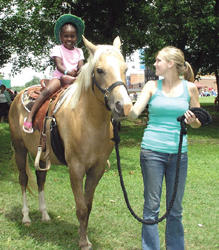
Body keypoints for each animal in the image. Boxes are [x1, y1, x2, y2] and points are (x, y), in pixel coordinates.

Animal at [8, 35, 132, 250]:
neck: (88, 120)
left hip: (42, 155)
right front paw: (83, 242)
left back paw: (45, 215)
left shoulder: (97, 169)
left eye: (125, 69)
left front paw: (85, 237)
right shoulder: (76, 168)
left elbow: (88, 205)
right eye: (99, 70)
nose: (123, 106)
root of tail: (19, 96)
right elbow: (81, 207)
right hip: (19, 149)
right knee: (23, 179)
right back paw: (26, 218)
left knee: (40, 178)